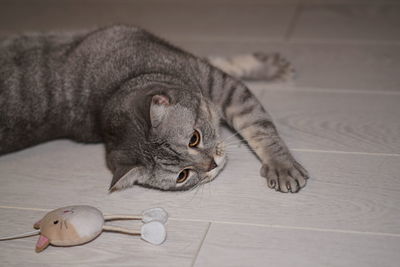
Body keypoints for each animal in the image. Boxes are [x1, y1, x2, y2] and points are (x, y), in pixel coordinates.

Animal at [0, 24, 310, 193]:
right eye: (182, 175)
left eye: (194, 138)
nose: (211, 165)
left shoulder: (217, 82)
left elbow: (258, 127)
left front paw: (281, 166)